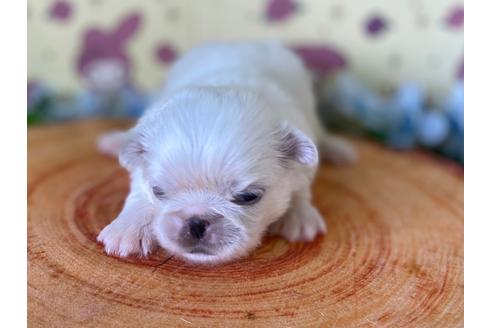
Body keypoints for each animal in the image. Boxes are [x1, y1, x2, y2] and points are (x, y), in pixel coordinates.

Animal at [97, 42, 358, 266]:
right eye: (158, 191)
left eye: (248, 197)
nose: (196, 222)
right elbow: (138, 194)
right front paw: (128, 227)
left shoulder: (303, 156)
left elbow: (300, 188)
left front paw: (299, 215)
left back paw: (338, 149)